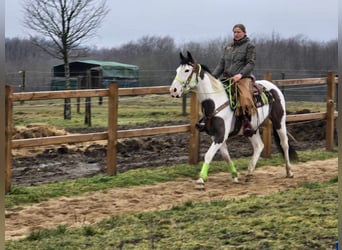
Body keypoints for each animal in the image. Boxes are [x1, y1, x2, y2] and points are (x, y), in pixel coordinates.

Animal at [170, 51, 298, 184]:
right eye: (177, 70)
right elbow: (226, 156)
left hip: (279, 121)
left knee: (284, 144)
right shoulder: (215, 136)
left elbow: (208, 155)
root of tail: (274, 87)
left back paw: (289, 172)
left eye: (187, 70)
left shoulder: (221, 135)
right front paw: (235, 176)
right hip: (252, 129)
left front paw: (201, 178)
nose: (173, 90)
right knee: (259, 146)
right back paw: (249, 172)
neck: (215, 101)